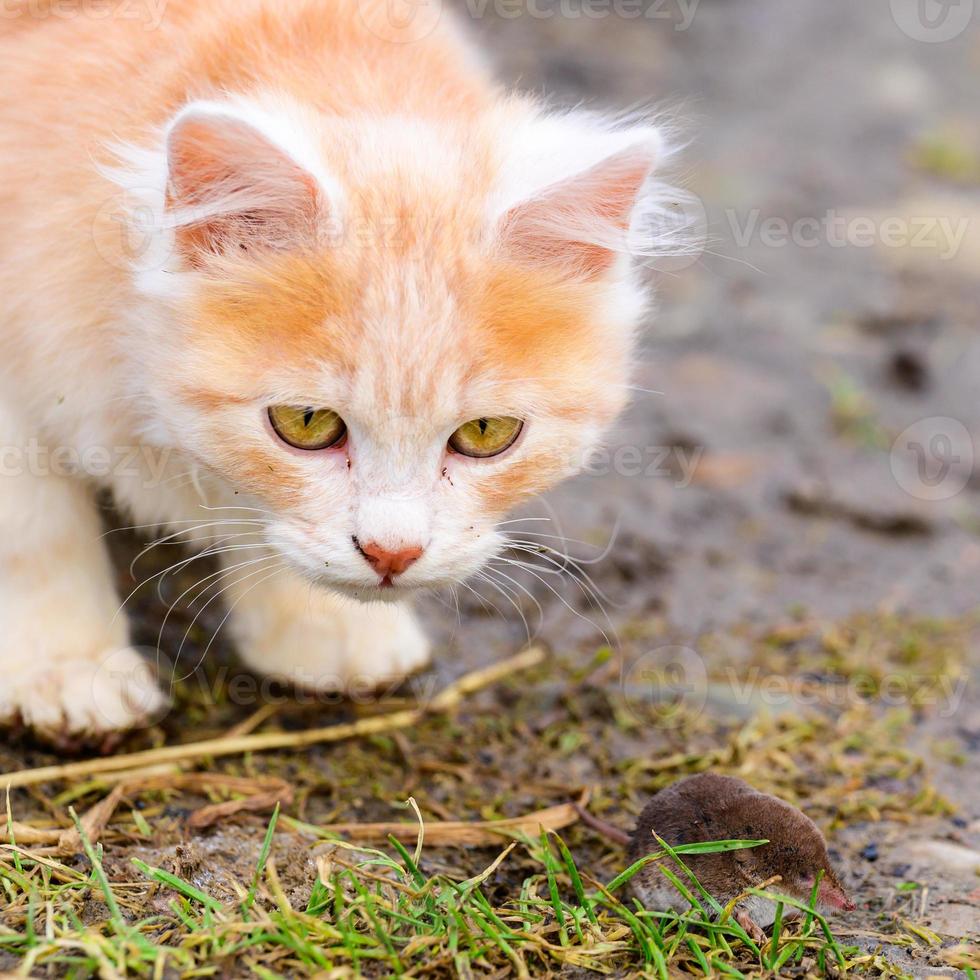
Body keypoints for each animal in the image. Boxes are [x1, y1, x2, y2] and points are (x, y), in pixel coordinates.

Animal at [0, 0, 672, 736]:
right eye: (306, 423)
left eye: (486, 434)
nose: (391, 555)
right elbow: (34, 528)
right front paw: (67, 666)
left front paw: (322, 628)